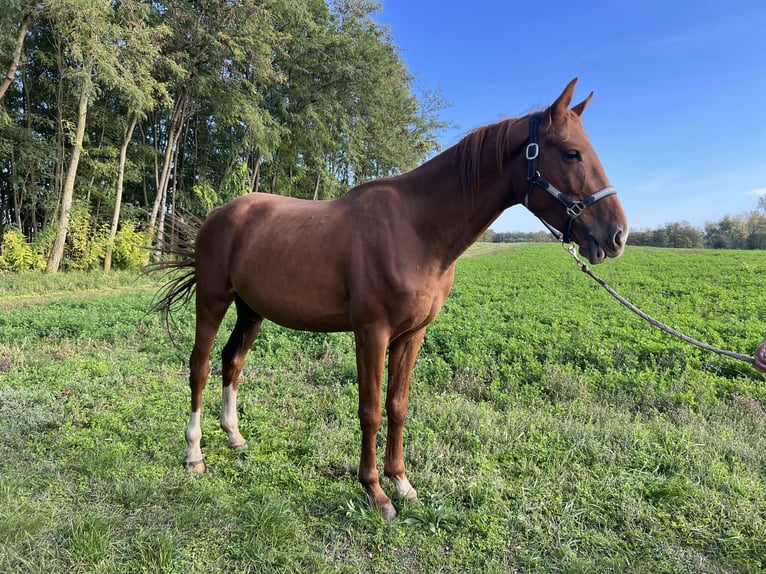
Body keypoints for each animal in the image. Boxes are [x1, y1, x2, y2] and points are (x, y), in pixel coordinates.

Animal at [152, 77, 632, 520]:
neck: (417, 227)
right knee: (200, 366)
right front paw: (375, 492)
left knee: (232, 361)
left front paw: (401, 482)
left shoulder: (411, 335)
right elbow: (370, 410)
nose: (616, 235)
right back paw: (194, 455)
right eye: (571, 153)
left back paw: (234, 436)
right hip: (213, 300)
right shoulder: (372, 333)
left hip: (251, 310)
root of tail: (220, 213)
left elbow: (397, 406)